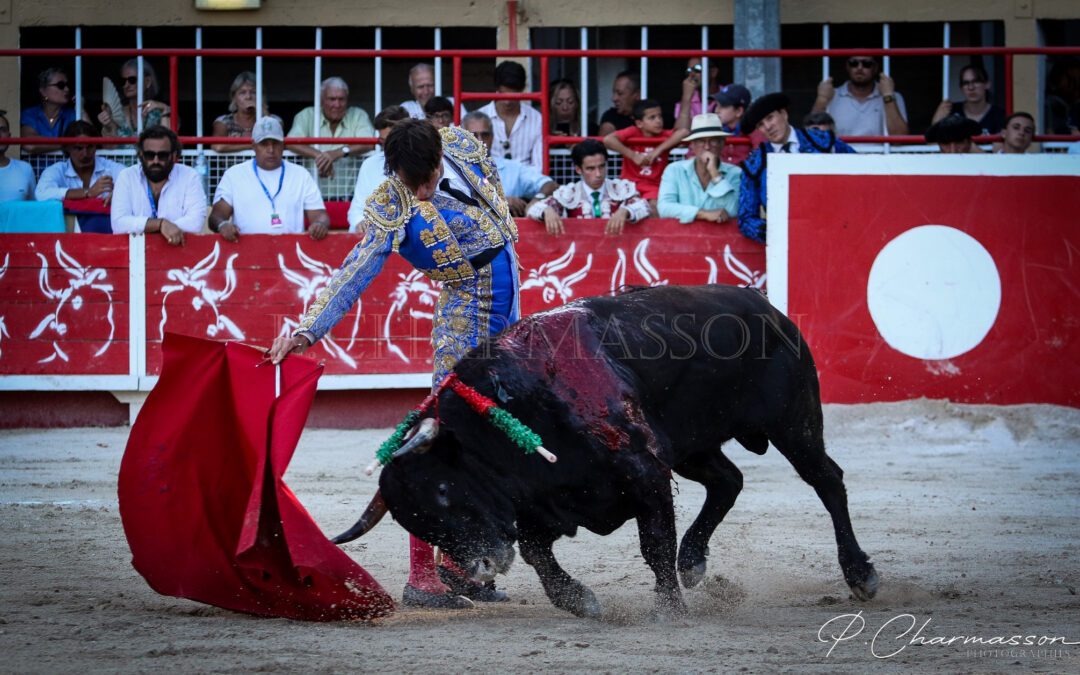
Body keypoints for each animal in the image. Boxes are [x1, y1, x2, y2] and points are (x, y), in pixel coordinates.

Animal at [336, 282, 876, 617]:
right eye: (416, 521)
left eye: (444, 490)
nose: (479, 568)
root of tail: (764, 305)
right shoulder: (544, 502)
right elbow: (537, 555)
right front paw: (581, 602)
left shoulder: (644, 473)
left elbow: (653, 545)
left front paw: (668, 612)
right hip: (690, 446)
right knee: (729, 481)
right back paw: (694, 561)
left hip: (792, 423)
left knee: (827, 480)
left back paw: (860, 574)